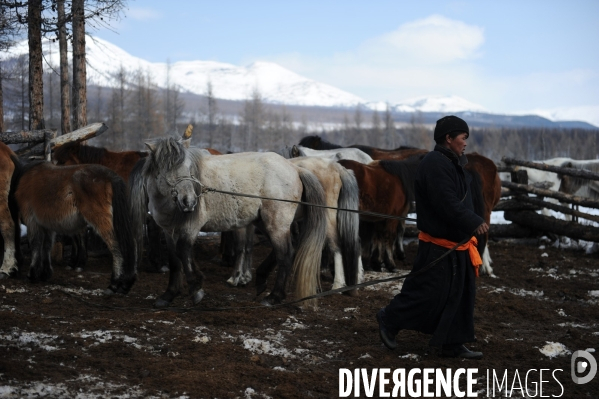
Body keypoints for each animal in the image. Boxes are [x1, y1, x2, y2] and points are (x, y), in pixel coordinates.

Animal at [14, 162, 137, 294]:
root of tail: (110, 176)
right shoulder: (46, 224)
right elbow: (46, 246)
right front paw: (44, 274)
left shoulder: (32, 220)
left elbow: (36, 245)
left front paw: (32, 274)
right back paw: (126, 283)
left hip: (100, 219)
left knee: (116, 247)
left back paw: (114, 284)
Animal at [131, 138, 328, 310]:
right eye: (167, 169)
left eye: (188, 168)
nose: (189, 202)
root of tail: (295, 168)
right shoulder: (168, 230)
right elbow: (175, 260)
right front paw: (168, 295)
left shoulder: (190, 228)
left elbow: (183, 251)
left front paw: (196, 288)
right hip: (264, 222)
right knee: (285, 249)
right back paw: (261, 279)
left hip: (276, 224)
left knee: (285, 255)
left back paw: (274, 297)